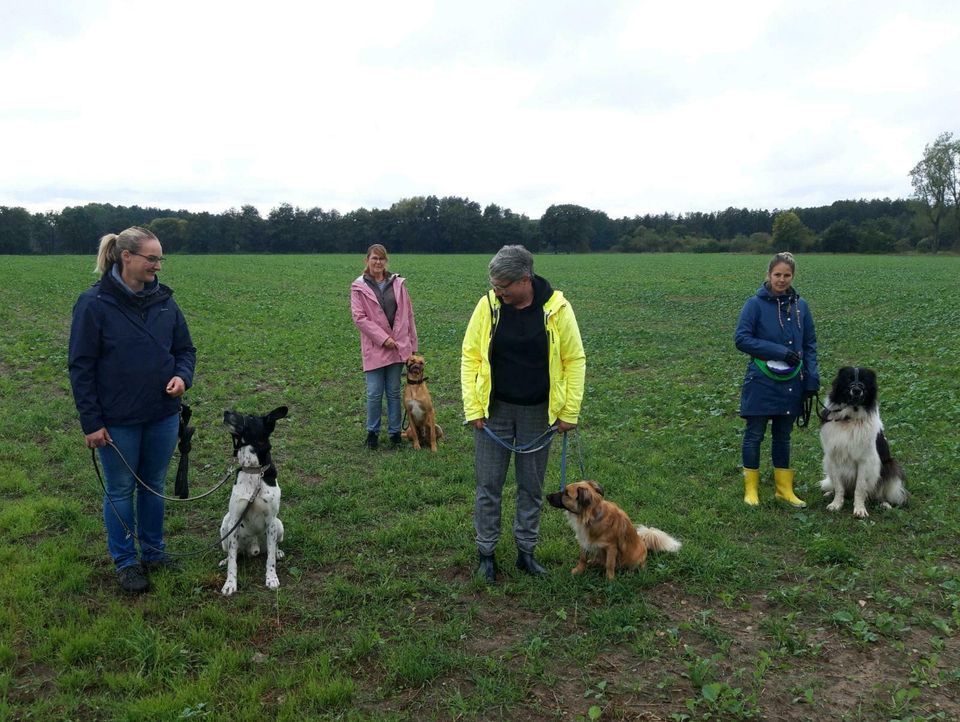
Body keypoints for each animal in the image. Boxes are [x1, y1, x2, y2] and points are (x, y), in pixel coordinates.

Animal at [219, 402, 286, 592]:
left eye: (250, 417)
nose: (226, 411)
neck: (253, 470)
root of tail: (255, 547)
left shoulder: (271, 521)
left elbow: (270, 559)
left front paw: (271, 578)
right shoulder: (234, 519)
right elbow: (232, 562)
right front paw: (230, 584)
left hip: (279, 524)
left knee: (273, 547)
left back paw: (278, 552)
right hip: (225, 526)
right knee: (233, 554)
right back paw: (224, 559)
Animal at [548, 478, 684, 580]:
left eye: (566, 493)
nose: (547, 496)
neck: (591, 517)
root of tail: (643, 541)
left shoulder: (611, 547)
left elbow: (609, 564)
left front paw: (610, 580)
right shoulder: (583, 541)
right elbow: (582, 558)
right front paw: (579, 570)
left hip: (637, 556)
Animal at [816, 366, 908, 516]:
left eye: (864, 380)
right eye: (849, 379)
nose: (857, 390)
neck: (849, 419)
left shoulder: (865, 460)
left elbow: (859, 488)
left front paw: (860, 509)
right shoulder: (833, 457)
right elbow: (839, 486)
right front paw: (836, 504)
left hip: (890, 466)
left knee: (878, 492)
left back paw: (884, 503)